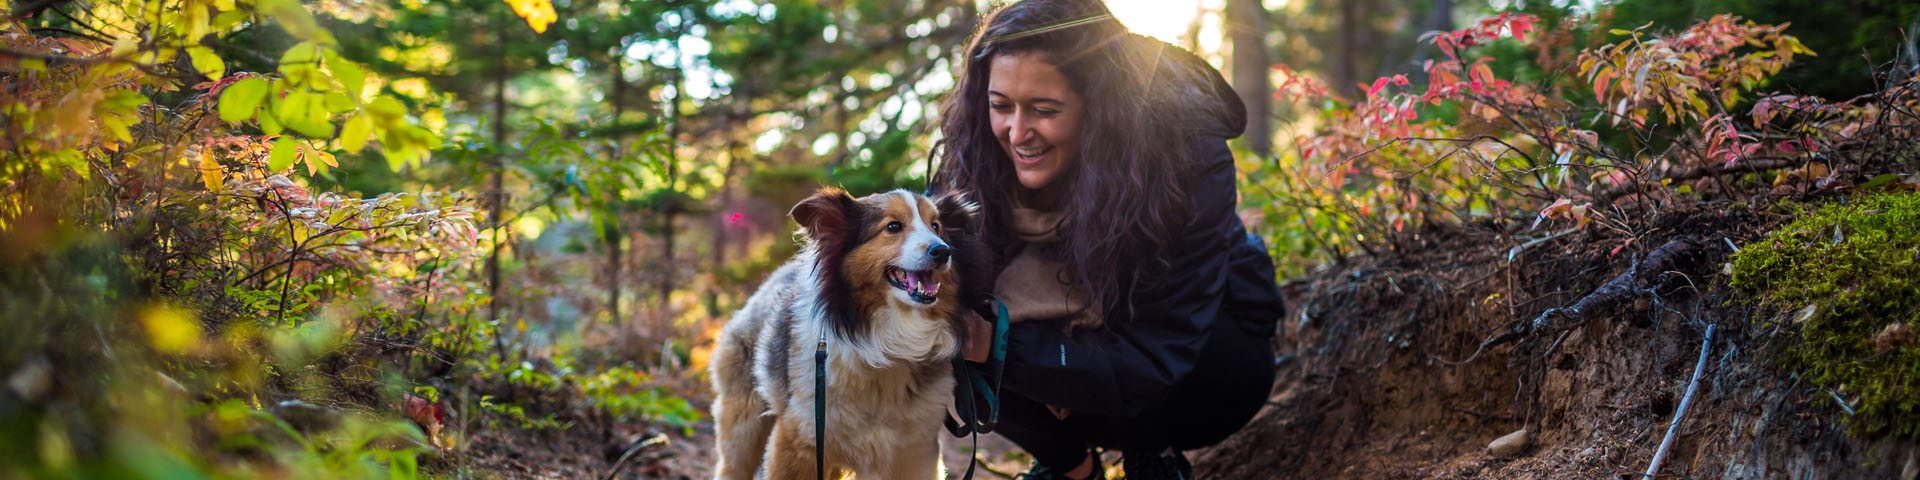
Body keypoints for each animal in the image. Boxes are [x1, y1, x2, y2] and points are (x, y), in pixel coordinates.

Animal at [718, 187, 990, 480]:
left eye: (936, 226)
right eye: (893, 226)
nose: (942, 251)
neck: (888, 343)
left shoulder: (914, 452)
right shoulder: (801, 438)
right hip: (744, 428)